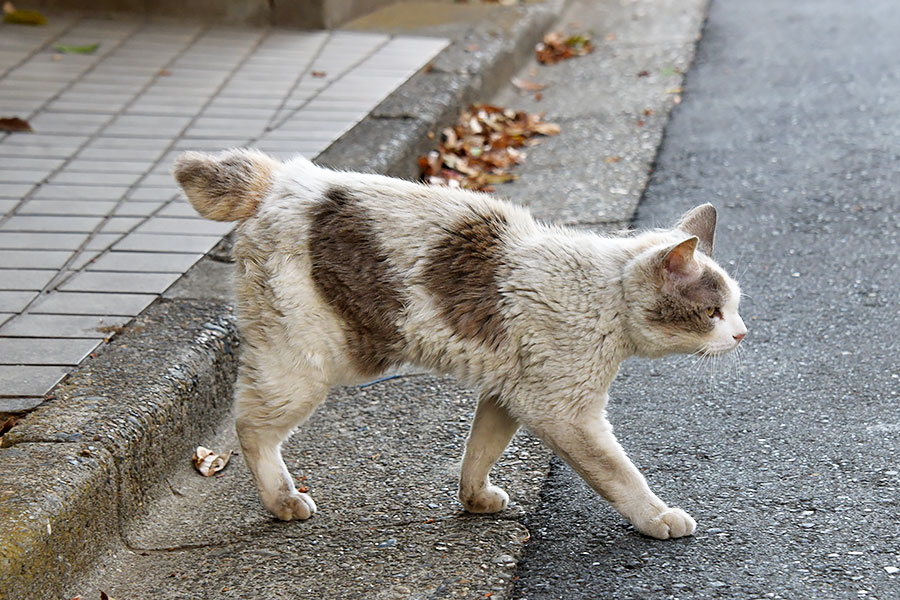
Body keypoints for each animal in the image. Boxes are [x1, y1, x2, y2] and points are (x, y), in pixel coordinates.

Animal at [171, 149, 744, 540]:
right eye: (712, 312)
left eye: (736, 307)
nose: (741, 333)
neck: (603, 294)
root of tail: (282, 177)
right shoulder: (565, 413)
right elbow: (621, 476)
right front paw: (658, 517)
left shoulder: (507, 395)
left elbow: (479, 450)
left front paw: (474, 499)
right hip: (303, 364)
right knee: (250, 427)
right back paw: (282, 501)